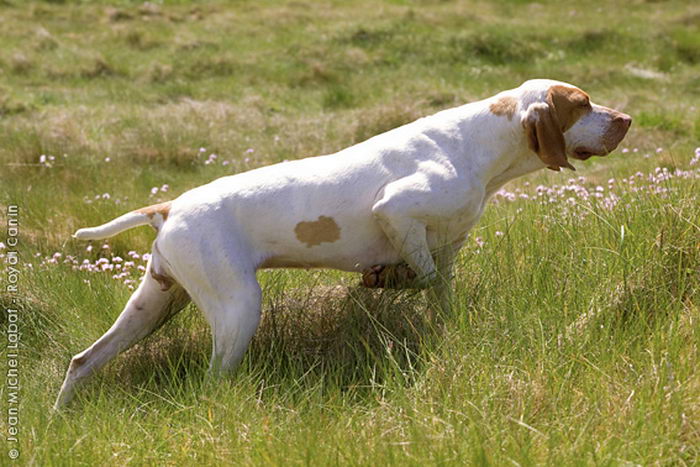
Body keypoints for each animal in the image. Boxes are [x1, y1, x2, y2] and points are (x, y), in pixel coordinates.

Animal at [54, 78, 632, 408]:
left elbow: (440, 292)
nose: (627, 119)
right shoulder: (395, 211)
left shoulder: (448, 248)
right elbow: (415, 276)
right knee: (213, 378)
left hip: (154, 303)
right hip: (237, 307)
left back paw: (63, 414)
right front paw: (385, 279)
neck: (477, 145)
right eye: (581, 104)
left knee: (83, 361)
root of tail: (170, 207)